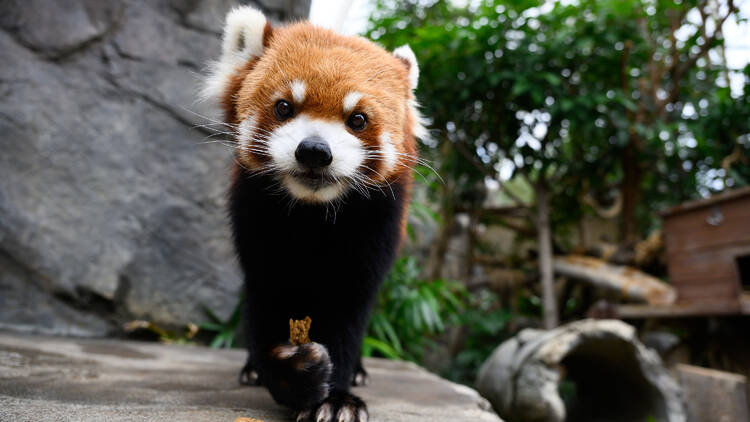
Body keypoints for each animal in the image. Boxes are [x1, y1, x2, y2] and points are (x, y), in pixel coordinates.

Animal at [203, 5, 426, 422]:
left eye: (357, 119)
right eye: (284, 107)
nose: (314, 151)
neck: (313, 213)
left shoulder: (376, 228)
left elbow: (348, 309)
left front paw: (336, 398)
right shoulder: (255, 218)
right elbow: (266, 297)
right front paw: (290, 373)